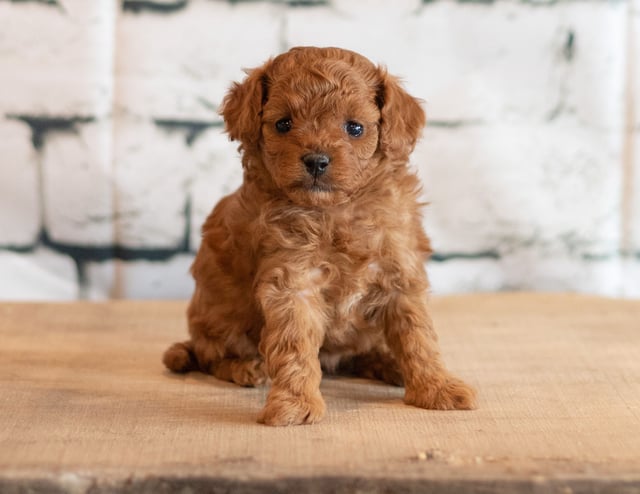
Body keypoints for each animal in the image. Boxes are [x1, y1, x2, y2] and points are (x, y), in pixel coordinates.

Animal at [165, 46, 476, 424]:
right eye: (283, 124)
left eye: (355, 128)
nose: (316, 160)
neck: (337, 211)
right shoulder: (293, 282)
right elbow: (294, 343)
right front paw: (295, 405)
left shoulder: (401, 275)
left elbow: (419, 338)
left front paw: (438, 388)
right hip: (218, 320)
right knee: (212, 357)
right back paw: (245, 368)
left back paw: (389, 364)